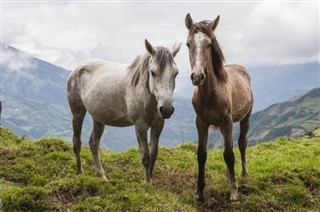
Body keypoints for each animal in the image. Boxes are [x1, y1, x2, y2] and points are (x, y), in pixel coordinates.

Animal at [67, 40, 182, 182]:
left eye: (175, 73)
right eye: (153, 72)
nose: (166, 109)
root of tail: (76, 69)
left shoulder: (158, 125)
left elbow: (154, 154)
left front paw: (150, 180)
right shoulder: (140, 126)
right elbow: (146, 158)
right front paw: (147, 183)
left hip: (98, 118)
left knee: (94, 143)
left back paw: (102, 176)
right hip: (77, 112)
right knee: (77, 141)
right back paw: (80, 172)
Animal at [184, 14, 254, 201]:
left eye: (209, 44)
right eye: (188, 44)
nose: (197, 76)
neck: (210, 94)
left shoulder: (227, 121)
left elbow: (229, 155)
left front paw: (234, 193)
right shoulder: (201, 122)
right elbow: (202, 154)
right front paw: (199, 192)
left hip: (245, 117)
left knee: (241, 143)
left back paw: (243, 174)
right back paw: (229, 176)